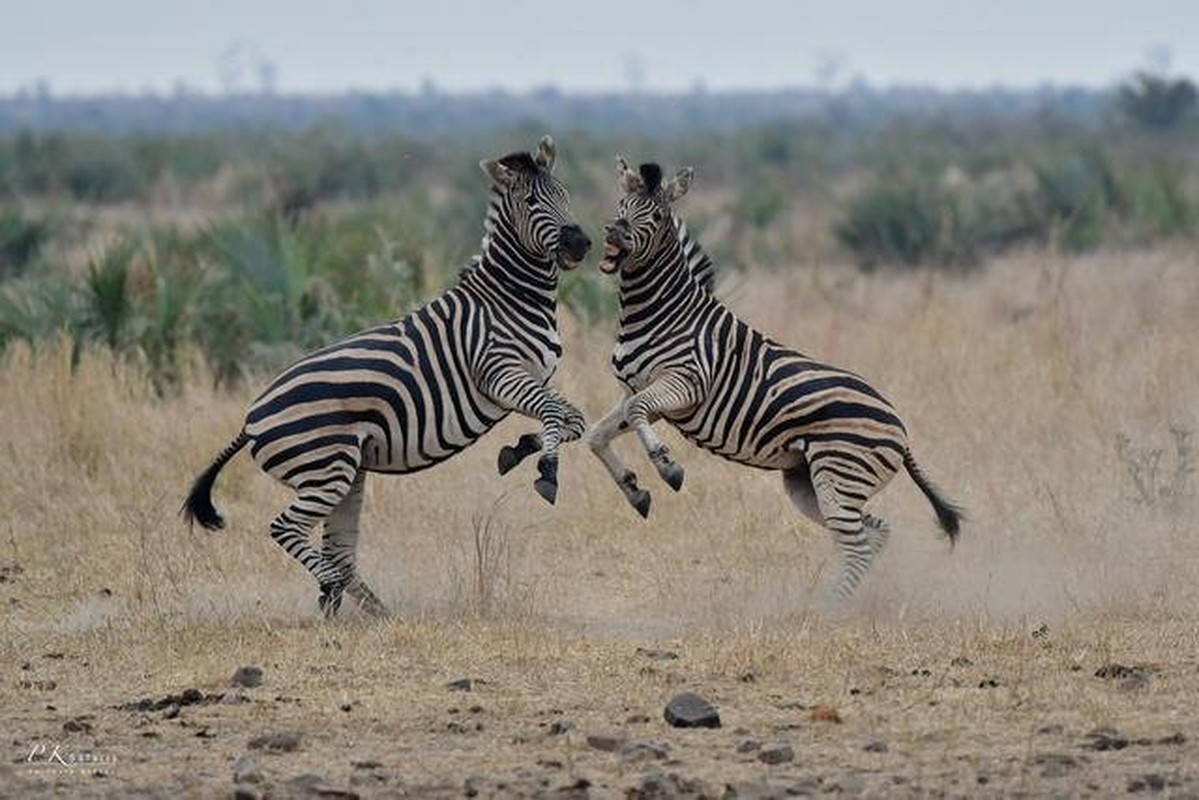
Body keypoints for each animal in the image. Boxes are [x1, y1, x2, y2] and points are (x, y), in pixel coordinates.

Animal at [184, 134, 592, 618]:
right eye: (531, 202)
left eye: (566, 194)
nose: (581, 243)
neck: (510, 298)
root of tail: (249, 420)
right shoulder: (498, 373)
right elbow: (557, 416)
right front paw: (546, 471)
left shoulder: (533, 380)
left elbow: (572, 419)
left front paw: (520, 451)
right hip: (326, 470)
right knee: (286, 529)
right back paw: (333, 587)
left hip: (344, 474)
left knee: (339, 551)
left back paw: (367, 609)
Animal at [585, 158, 959, 599]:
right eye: (621, 205)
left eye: (656, 216)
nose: (615, 231)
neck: (659, 312)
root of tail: (900, 428)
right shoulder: (637, 390)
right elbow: (599, 433)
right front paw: (634, 490)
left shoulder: (686, 382)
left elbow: (638, 413)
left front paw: (667, 467)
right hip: (810, 484)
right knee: (874, 533)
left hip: (839, 475)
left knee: (857, 545)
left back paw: (828, 608)